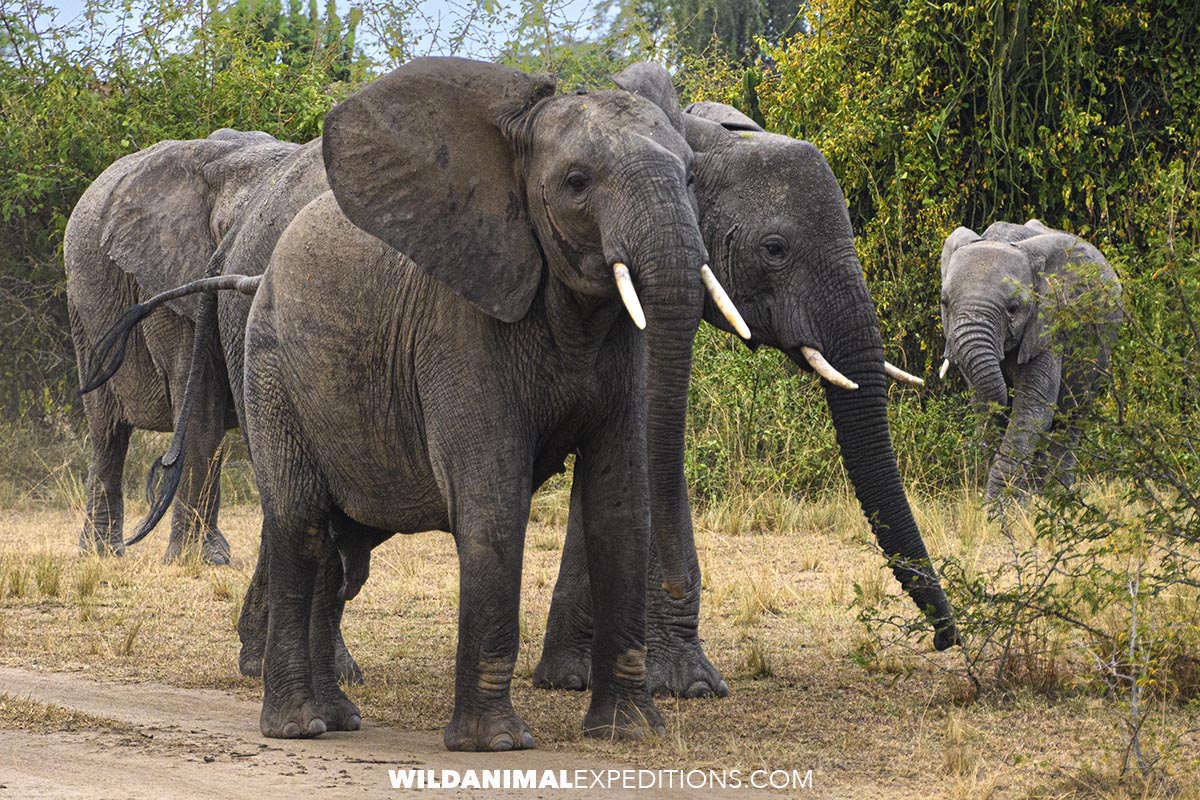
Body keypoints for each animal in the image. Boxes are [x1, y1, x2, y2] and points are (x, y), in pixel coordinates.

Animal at [64, 129, 298, 563]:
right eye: (229, 228)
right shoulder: (164, 277)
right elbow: (201, 405)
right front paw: (199, 559)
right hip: (83, 312)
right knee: (107, 432)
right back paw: (103, 554)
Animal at [938, 219, 1123, 501]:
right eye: (944, 302)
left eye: (1013, 308)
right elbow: (986, 407)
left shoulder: (1049, 324)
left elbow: (1033, 408)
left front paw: (1002, 506)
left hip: (1100, 349)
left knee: (1070, 417)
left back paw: (1056, 495)